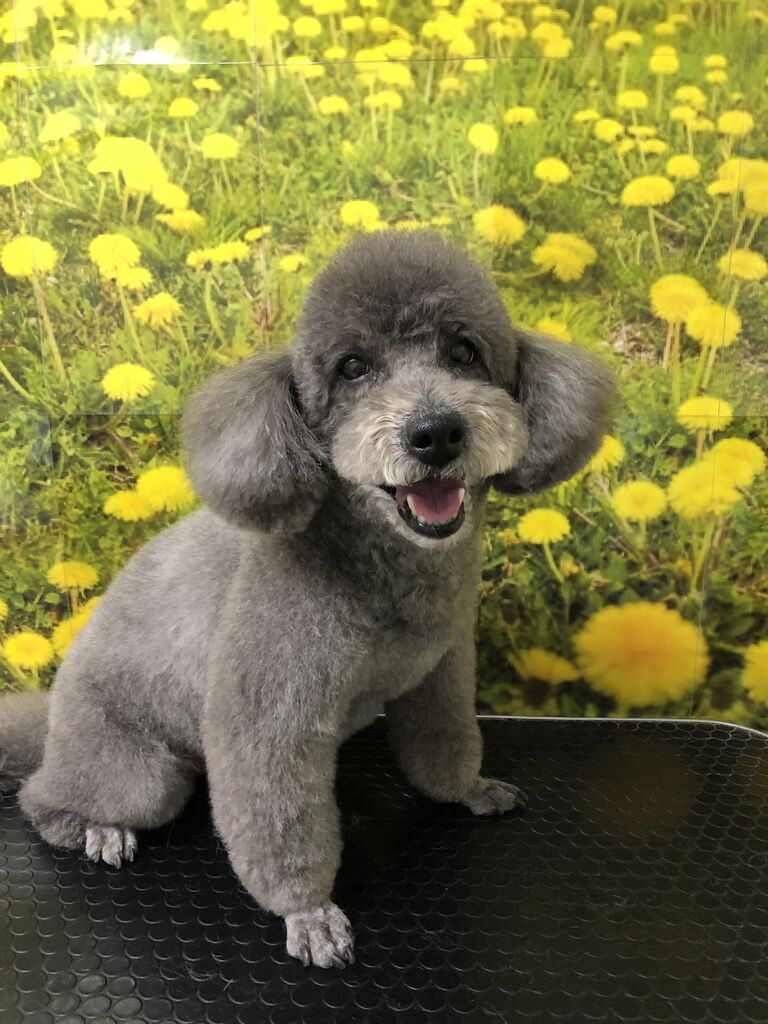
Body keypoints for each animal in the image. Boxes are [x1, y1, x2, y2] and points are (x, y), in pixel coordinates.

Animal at [0, 230, 615, 968]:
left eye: (464, 351)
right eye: (352, 368)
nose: (435, 432)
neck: (388, 570)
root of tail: (52, 720)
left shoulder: (440, 671)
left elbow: (446, 740)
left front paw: (468, 791)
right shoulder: (268, 716)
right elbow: (282, 822)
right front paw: (308, 912)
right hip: (135, 774)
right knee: (44, 798)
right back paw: (95, 829)